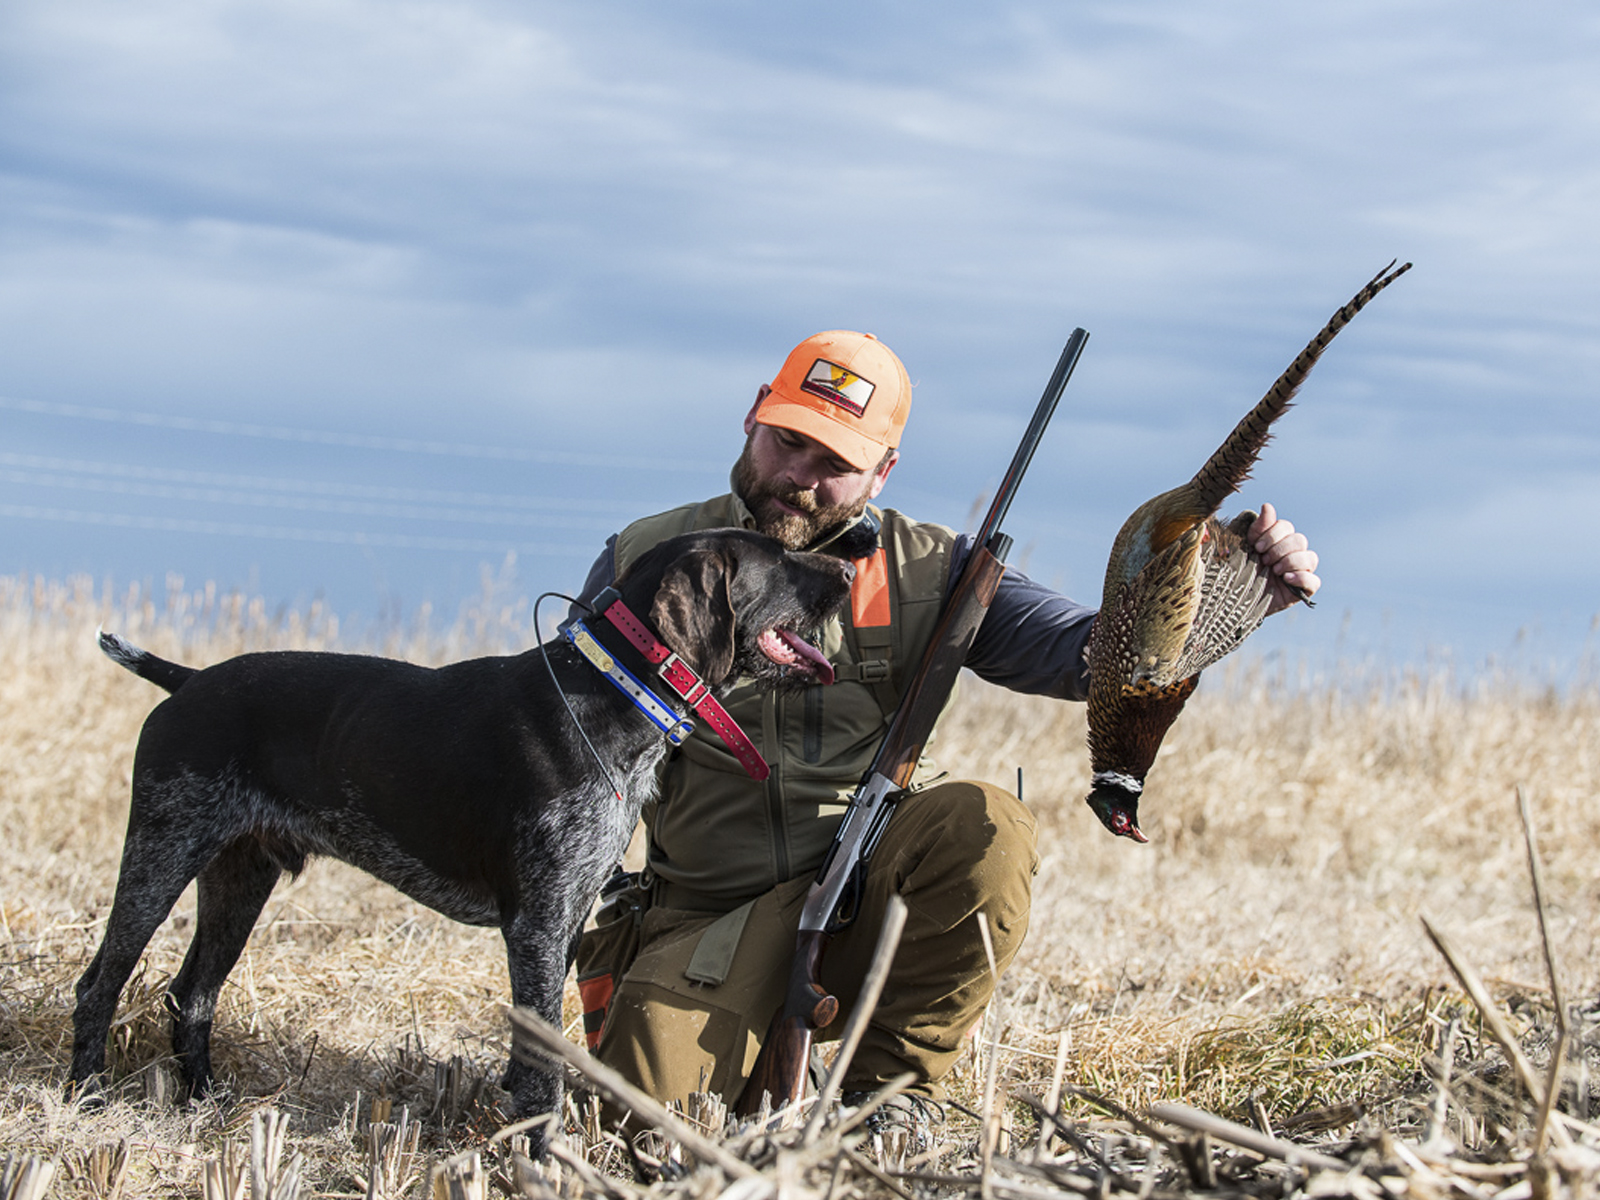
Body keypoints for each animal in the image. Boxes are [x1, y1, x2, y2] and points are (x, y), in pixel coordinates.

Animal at [70, 534, 857, 1145]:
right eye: (780, 557)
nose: (852, 570)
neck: (612, 692)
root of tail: (188, 681)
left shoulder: (567, 917)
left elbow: (537, 1045)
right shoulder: (536, 923)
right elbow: (542, 1069)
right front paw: (541, 1157)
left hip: (240, 877)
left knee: (193, 993)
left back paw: (205, 1103)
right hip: (161, 852)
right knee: (100, 982)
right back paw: (87, 1097)